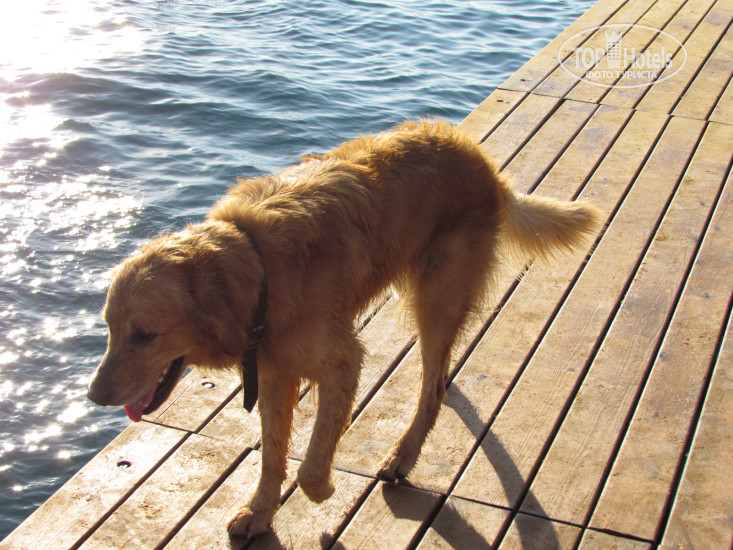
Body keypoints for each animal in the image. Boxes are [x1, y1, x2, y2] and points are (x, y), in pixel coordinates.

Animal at [87, 119, 600, 539]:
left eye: (145, 335)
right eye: (108, 328)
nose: (94, 397)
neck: (259, 269)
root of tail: (483, 162)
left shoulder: (342, 362)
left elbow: (310, 466)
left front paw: (322, 492)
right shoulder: (274, 373)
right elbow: (272, 455)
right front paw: (259, 512)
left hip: (434, 299)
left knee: (430, 388)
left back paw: (401, 457)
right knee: (439, 376)